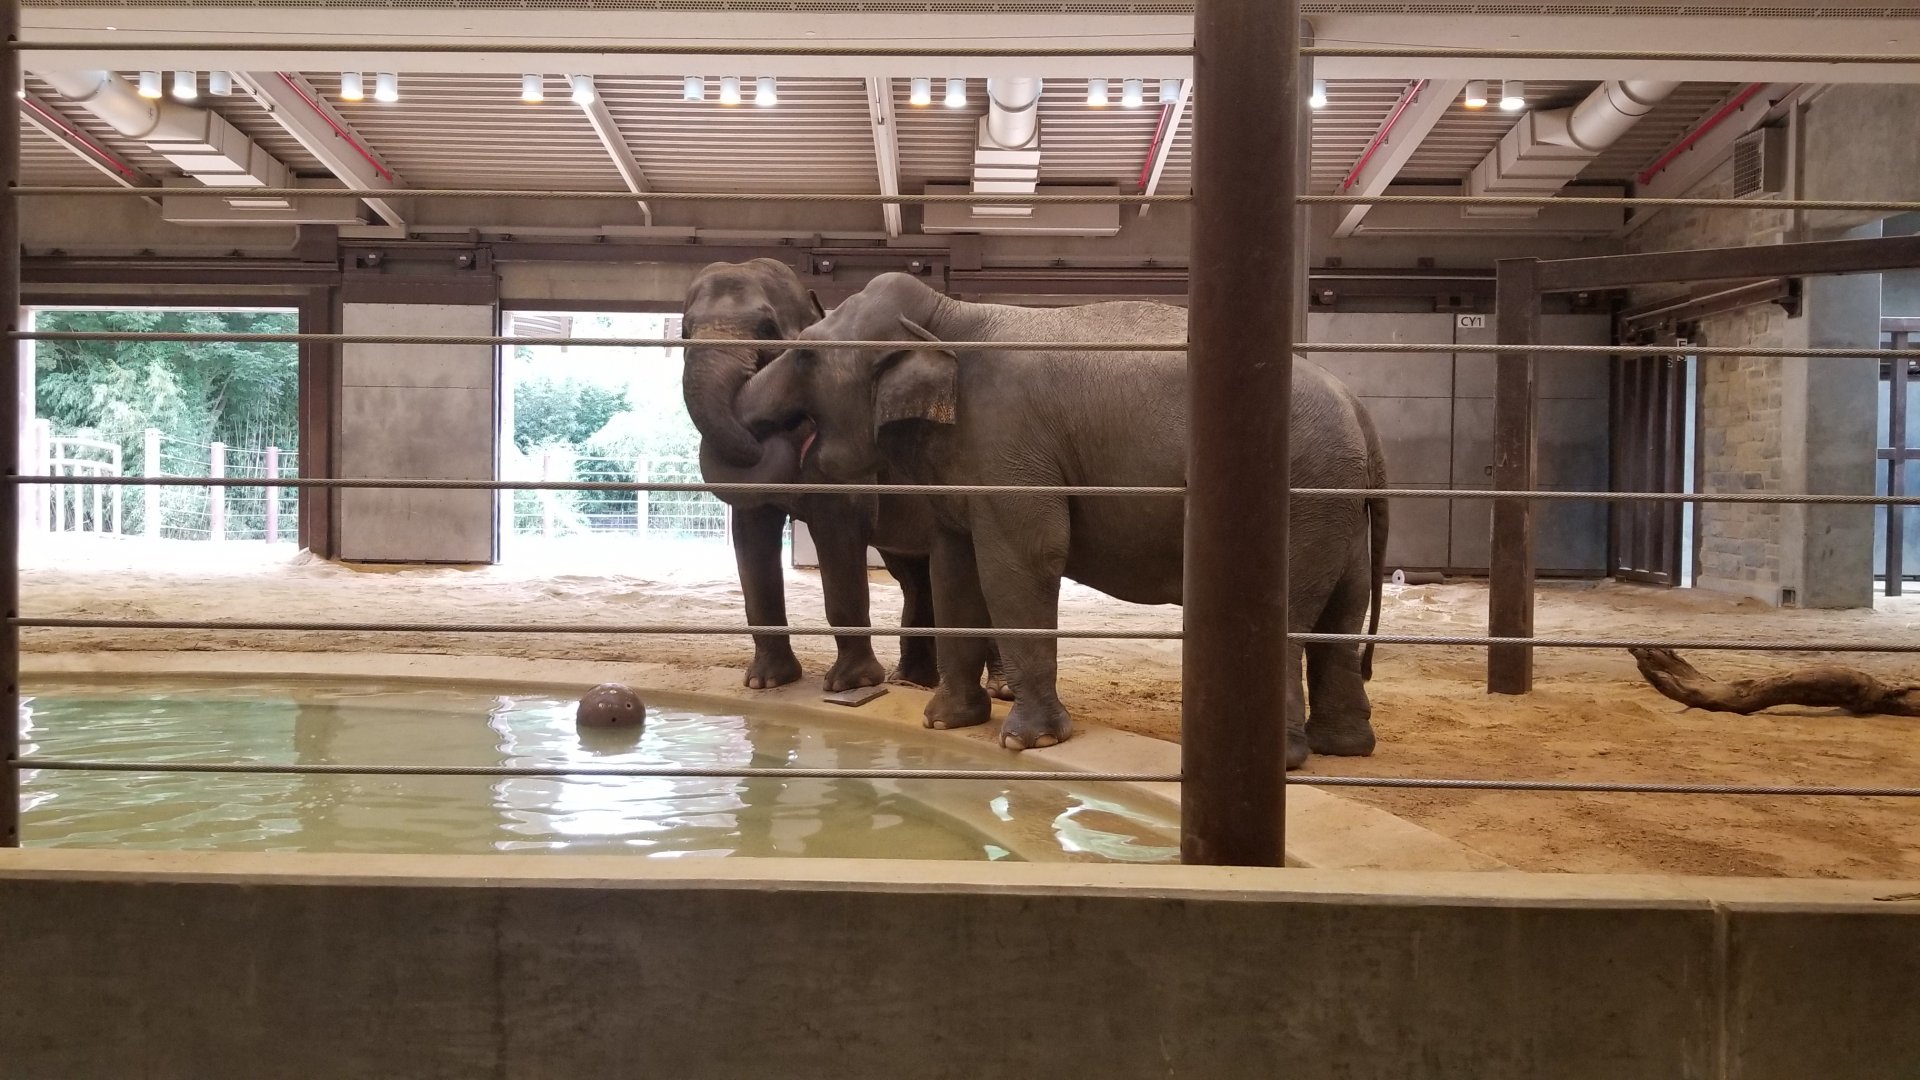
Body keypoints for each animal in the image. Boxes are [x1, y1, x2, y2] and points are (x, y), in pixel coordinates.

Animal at [680, 260, 1009, 697]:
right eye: (685, 331)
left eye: (768, 328)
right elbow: (752, 532)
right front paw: (766, 681)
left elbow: (841, 528)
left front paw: (849, 684)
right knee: (913, 575)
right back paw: (911, 680)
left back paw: (999, 689)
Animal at [735, 272, 1387, 769]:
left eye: (804, 353)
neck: (952, 315)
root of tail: (1359, 411)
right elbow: (953, 568)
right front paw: (945, 723)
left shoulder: (1011, 443)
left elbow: (1022, 561)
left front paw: (1027, 742)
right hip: (1333, 504)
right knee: (1343, 608)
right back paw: (1344, 749)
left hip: (1302, 496)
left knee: (1288, 615)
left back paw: (1286, 760)